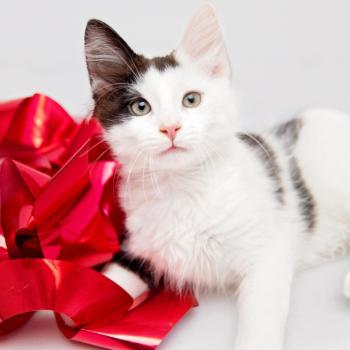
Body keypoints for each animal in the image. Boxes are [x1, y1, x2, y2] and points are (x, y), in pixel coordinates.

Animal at [84, 3, 350, 350]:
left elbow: (261, 313)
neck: (182, 186)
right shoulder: (141, 242)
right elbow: (111, 281)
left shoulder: (268, 249)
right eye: (140, 107)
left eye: (191, 100)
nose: (171, 128)